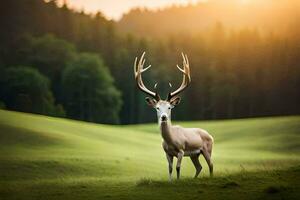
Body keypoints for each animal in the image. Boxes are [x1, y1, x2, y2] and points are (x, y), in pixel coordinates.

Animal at [134, 51, 213, 180]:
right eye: (157, 108)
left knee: (211, 164)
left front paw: (178, 180)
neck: (171, 141)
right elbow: (170, 168)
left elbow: (177, 168)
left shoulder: (181, 150)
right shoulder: (167, 153)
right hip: (194, 155)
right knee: (199, 167)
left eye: (169, 107)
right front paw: (170, 181)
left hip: (207, 149)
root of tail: (210, 135)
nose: (164, 117)